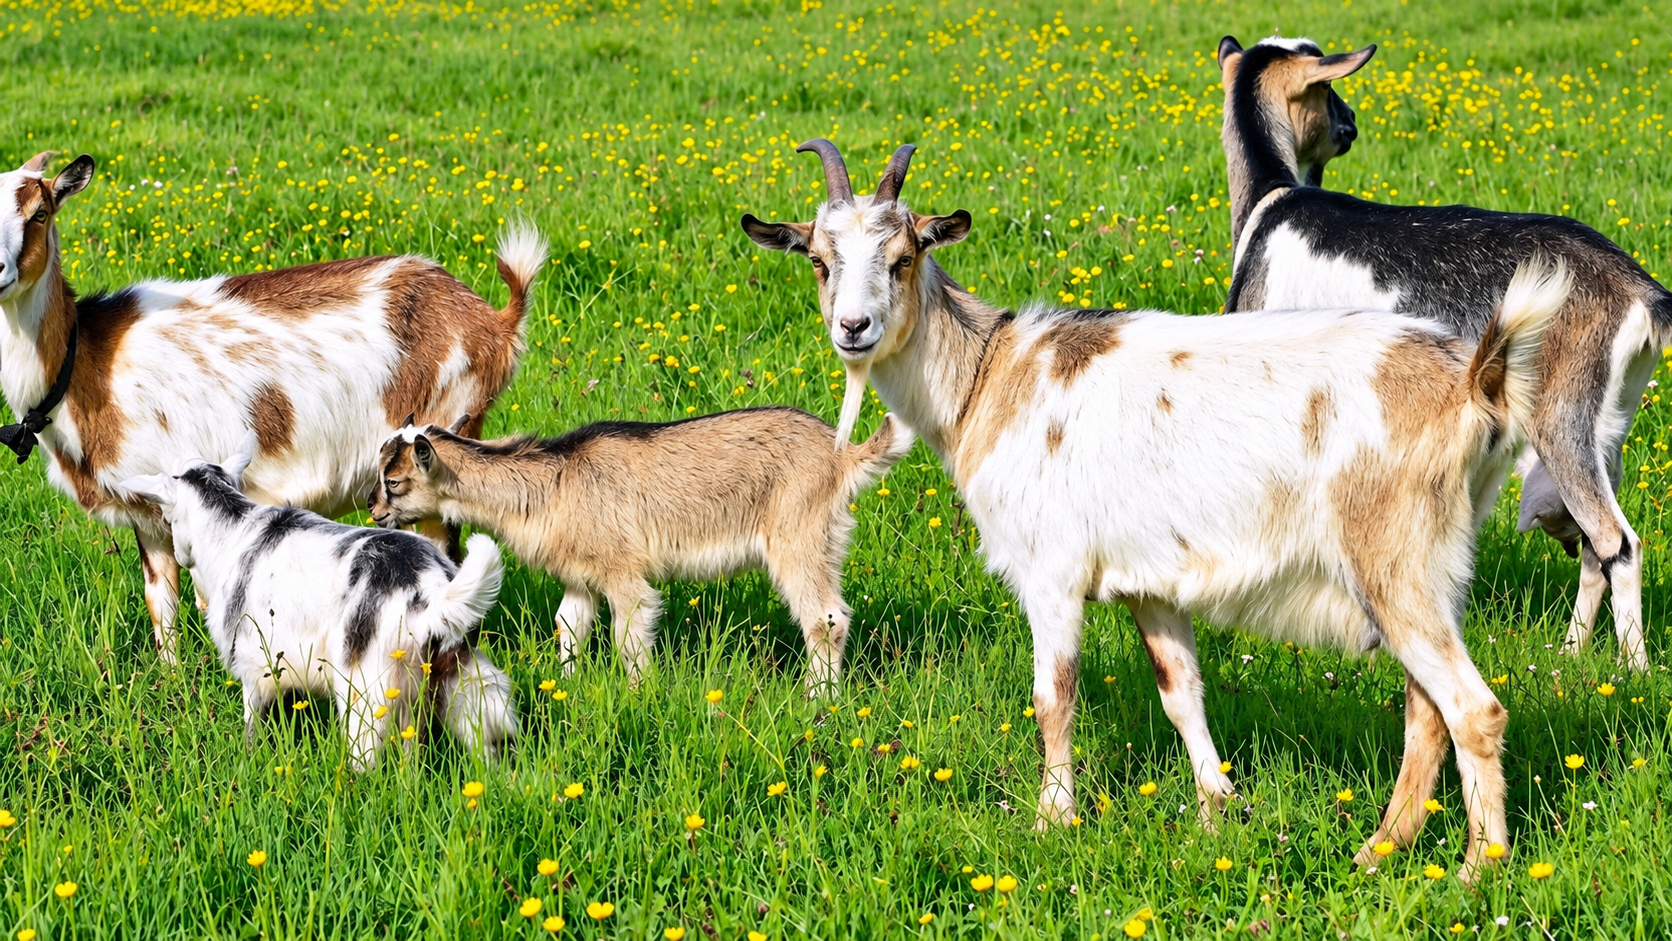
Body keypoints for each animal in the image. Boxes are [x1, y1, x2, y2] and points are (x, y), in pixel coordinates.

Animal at [0, 152, 547, 664]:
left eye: (40, 213)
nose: (0, 271)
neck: (89, 362)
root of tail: (495, 322)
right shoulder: (147, 513)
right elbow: (162, 604)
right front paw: (170, 681)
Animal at [116, 441, 516, 770]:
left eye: (168, 518)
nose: (181, 555)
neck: (233, 529)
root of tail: (430, 590)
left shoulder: (253, 665)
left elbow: (251, 724)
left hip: (366, 693)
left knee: (367, 758)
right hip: (455, 683)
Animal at [366, 408, 913, 692]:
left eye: (393, 481)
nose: (372, 509)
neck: (553, 481)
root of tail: (845, 456)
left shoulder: (622, 569)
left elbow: (629, 633)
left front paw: (638, 696)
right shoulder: (581, 575)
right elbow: (569, 626)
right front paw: (566, 686)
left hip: (799, 536)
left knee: (824, 619)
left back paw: (818, 701)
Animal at [744, 139, 1565, 877]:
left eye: (904, 256)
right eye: (819, 260)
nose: (854, 329)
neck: (989, 377)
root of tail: (1476, 382)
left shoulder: (1050, 571)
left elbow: (1054, 696)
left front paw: (1053, 820)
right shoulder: (1152, 582)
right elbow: (1181, 695)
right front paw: (1216, 810)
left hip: (1393, 560)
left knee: (1471, 709)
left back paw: (1478, 870)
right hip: (1435, 565)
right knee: (1428, 712)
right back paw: (1377, 853)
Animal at [1217, 36, 1672, 670]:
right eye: (1331, 95)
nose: (1350, 124)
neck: (1270, 205)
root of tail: (1642, 292)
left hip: (1561, 416)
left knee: (1618, 541)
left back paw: (1632, 670)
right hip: (1607, 426)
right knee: (1592, 542)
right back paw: (1571, 654)